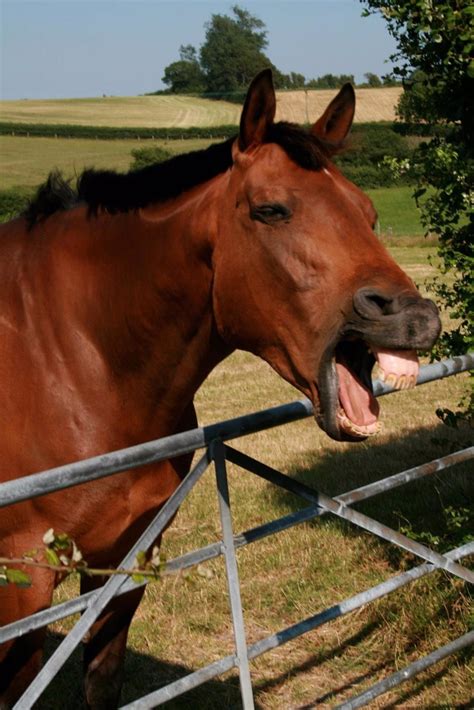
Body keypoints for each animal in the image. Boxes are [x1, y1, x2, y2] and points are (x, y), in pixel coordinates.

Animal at [0, 69, 440, 708]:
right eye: (270, 209)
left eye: (368, 212)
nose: (416, 317)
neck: (73, 353)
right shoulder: (22, 583)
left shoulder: (126, 560)